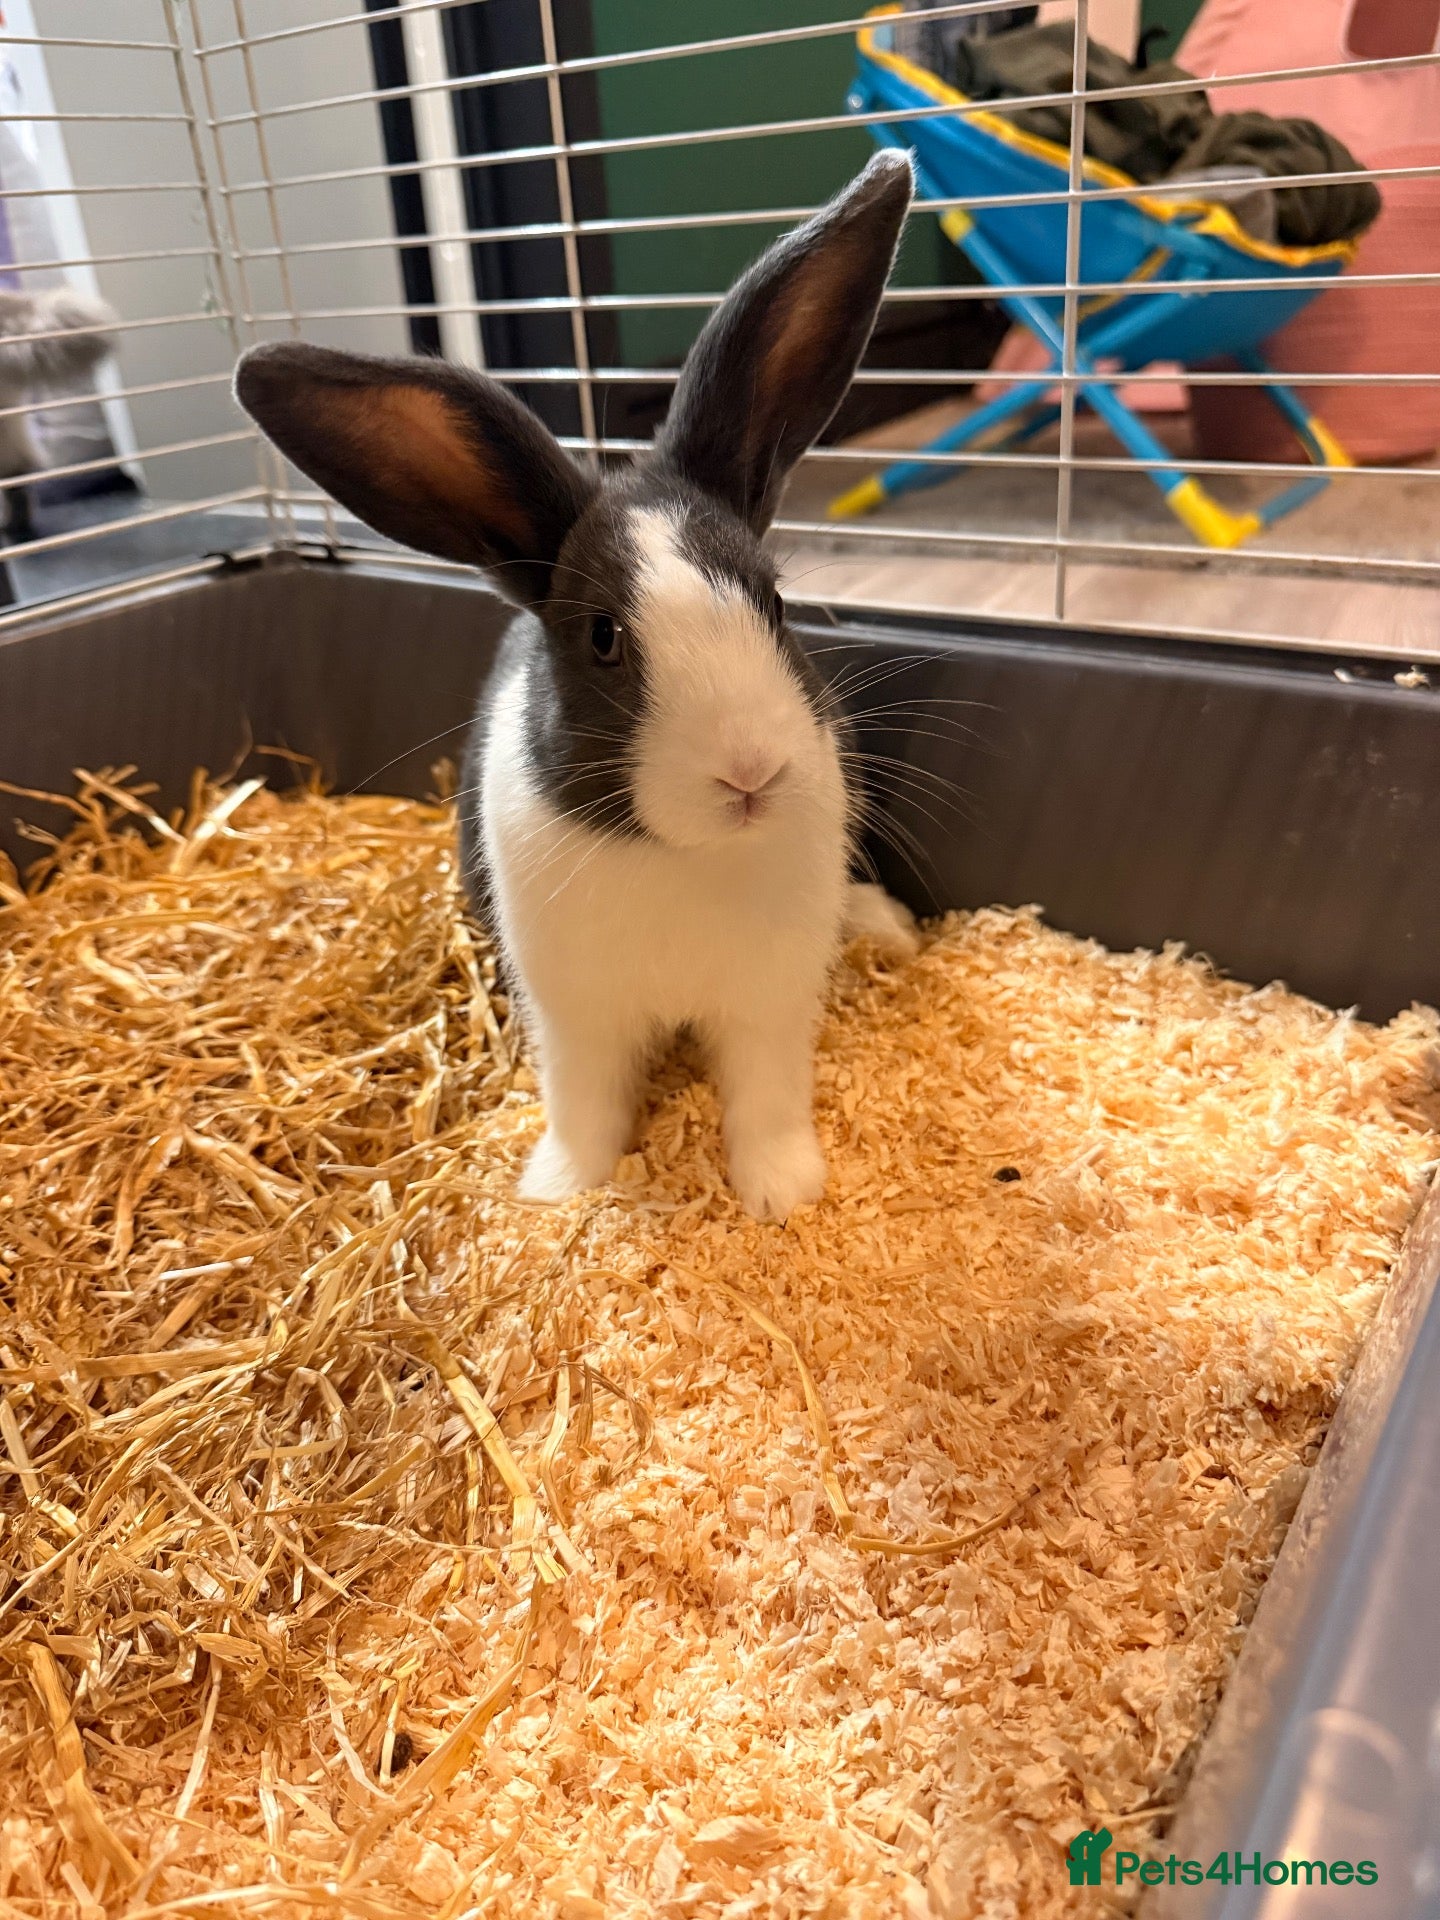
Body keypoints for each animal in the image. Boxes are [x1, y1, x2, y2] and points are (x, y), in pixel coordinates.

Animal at [233, 151, 921, 1221]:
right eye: (602, 638)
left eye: (771, 602)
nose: (751, 773)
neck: (685, 857)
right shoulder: (575, 1015)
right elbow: (586, 1102)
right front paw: (561, 1191)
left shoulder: (767, 1005)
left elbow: (765, 1099)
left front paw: (781, 1196)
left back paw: (889, 929)